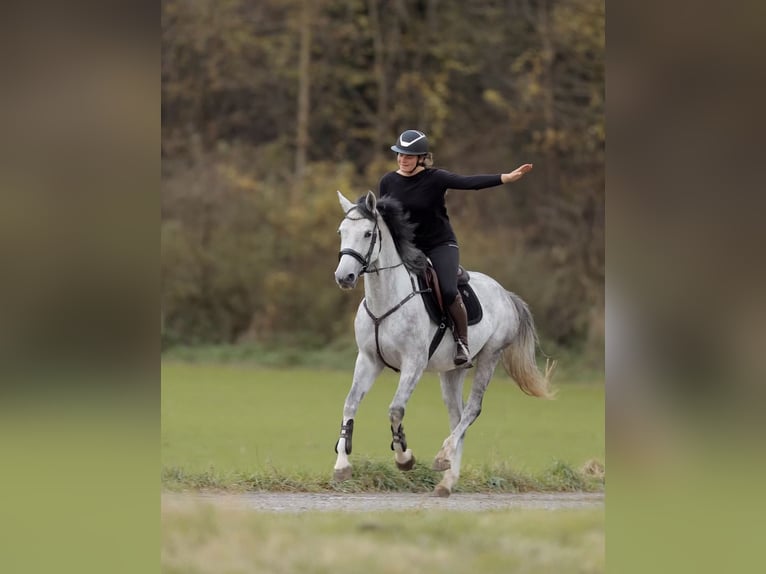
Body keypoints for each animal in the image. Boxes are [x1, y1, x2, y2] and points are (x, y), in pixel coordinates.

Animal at [332, 190, 555, 497]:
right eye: (341, 232)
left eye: (367, 233)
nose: (344, 277)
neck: (386, 299)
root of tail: (505, 293)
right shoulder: (368, 360)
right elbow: (350, 404)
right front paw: (341, 466)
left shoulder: (413, 362)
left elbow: (395, 409)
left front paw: (404, 457)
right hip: (452, 371)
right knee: (457, 416)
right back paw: (447, 480)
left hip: (489, 357)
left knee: (471, 410)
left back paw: (443, 457)